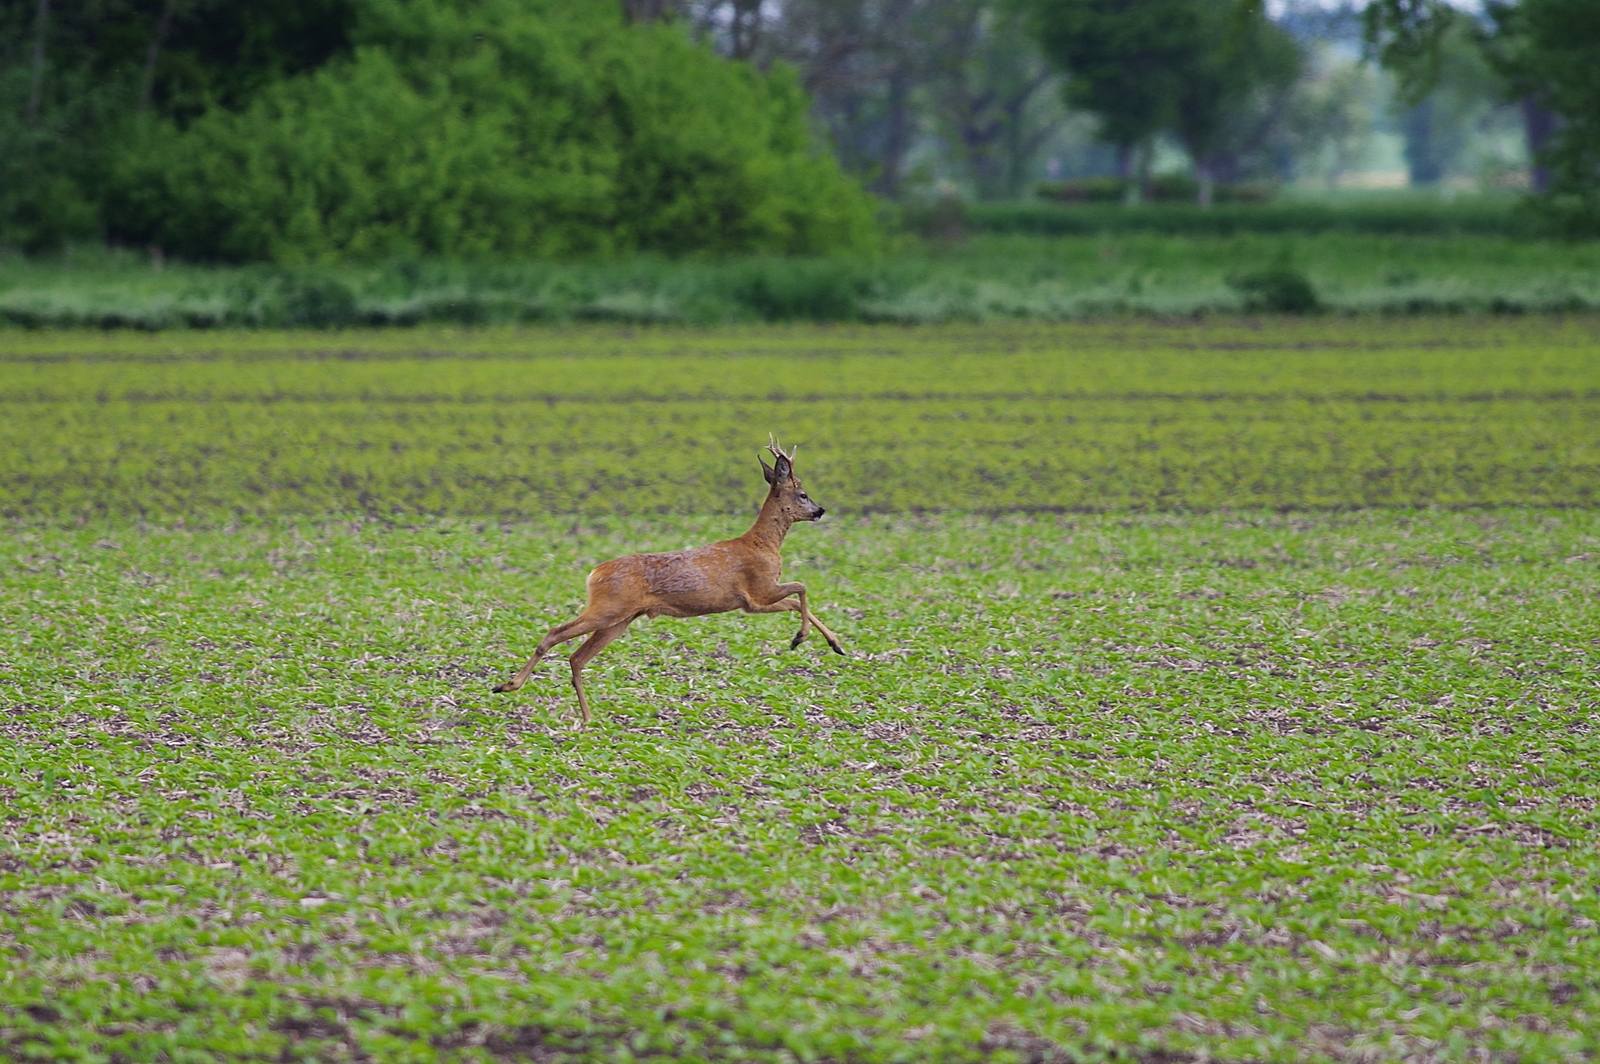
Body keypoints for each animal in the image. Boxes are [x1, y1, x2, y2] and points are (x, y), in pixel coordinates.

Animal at [489, 438, 844, 723]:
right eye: (803, 495)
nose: (821, 510)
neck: (763, 544)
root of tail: (595, 572)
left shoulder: (752, 602)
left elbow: (797, 598)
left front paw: (835, 644)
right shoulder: (757, 592)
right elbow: (800, 589)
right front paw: (800, 638)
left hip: (621, 619)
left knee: (576, 655)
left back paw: (587, 717)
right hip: (609, 608)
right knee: (554, 634)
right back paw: (508, 685)